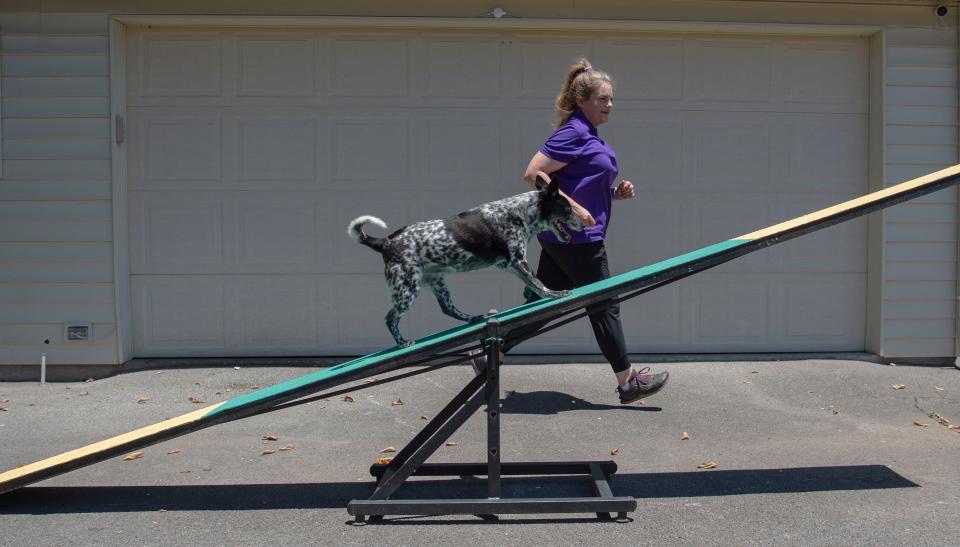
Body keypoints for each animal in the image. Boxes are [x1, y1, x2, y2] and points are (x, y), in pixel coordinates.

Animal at [348, 176, 580, 346]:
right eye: (569, 210)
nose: (585, 223)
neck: (519, 212)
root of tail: (386, 242)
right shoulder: (517, 261)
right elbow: (540, 284)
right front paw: (554, 294)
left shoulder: (511, 265)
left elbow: (532, 283)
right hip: (407, 289)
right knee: (390, 318)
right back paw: (402, 342)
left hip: (436, 282)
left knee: (447, 308)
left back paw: (471, 319)